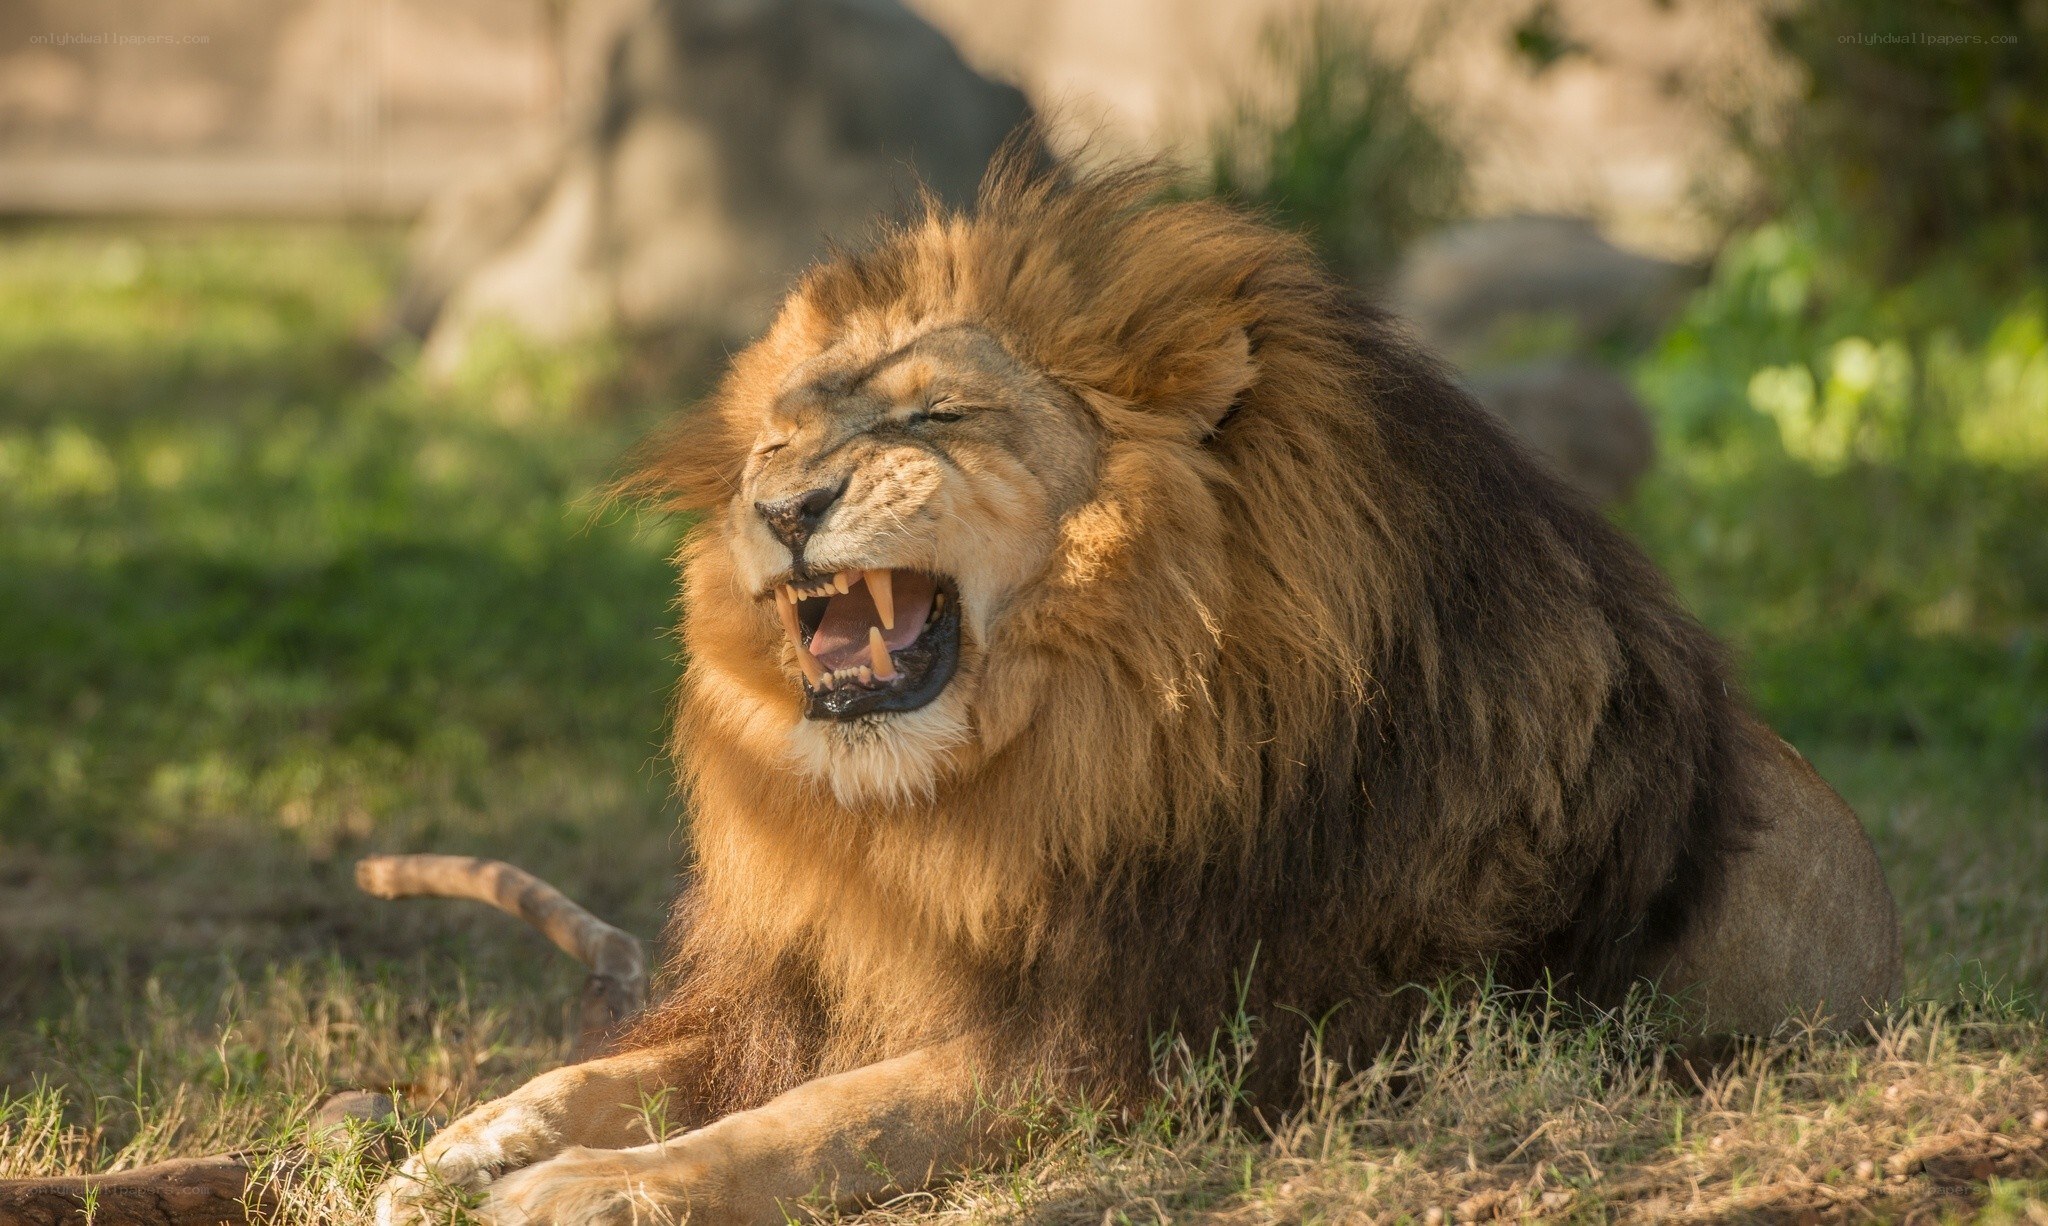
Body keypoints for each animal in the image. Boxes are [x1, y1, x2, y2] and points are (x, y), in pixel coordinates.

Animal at [376, 154, 1899, 1225]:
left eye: (936, 415)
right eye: (776, 438)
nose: (784, 505)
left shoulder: (1144, 1038)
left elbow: (824, 1119)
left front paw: (586, 1186)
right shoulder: (814, 983)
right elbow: (617, 1069)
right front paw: (454, 1145)